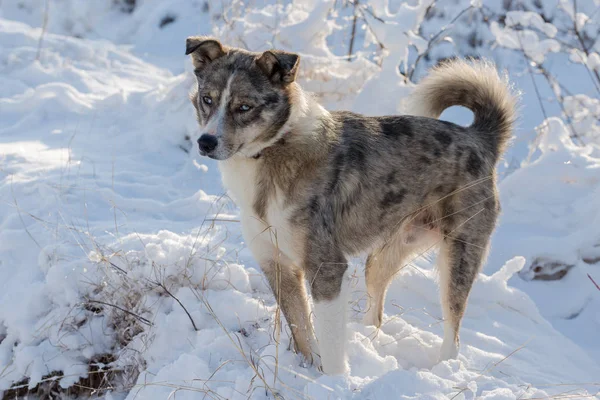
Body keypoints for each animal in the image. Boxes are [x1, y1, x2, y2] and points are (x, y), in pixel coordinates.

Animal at [186, 37, 516, 376]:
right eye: (207, 99)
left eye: (244, 107)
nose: (205, 142)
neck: (274, 149)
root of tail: (478, 138)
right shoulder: (276, 263)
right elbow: (303, 332)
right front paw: (309, 371)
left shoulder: (326, 267)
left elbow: (330, 343)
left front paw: (334, 381)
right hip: (382, 257)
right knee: (377, 308)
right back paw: (368, 338)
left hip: (457, 258)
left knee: (453, 328)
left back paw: (442, 367)